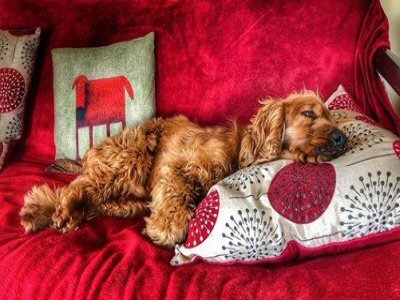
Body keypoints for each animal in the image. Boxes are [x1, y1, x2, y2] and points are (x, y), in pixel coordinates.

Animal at [21, 90, 346, 247]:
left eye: (332, 117)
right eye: (308, 114)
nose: (342, 137)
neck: (238, 149)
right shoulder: (175, 165)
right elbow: (176, 192)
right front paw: (168, 226)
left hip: (127, 199)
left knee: (90, 198)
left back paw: (39, 212)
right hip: (132, 155)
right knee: (80, 186)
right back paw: (60, 211)